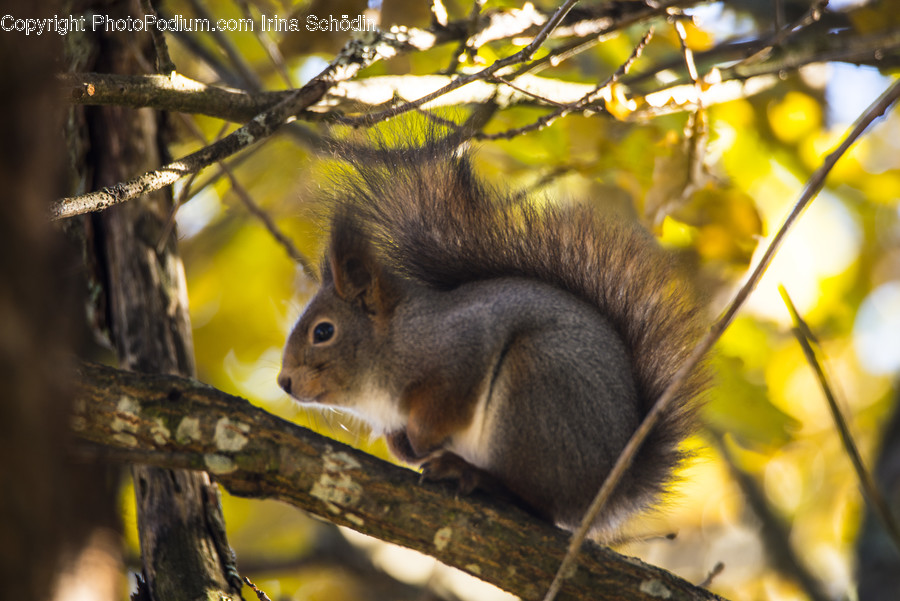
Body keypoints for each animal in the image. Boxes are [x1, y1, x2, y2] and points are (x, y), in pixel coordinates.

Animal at [278, 137, 707, 539]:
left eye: (323, 331)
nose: (284, 381)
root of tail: (604, 492)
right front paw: (403, 447)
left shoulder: (463, 348)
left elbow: (448, 402)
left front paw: (422, 440)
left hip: (533, 388)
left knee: (537, 503)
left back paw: (474, 476)